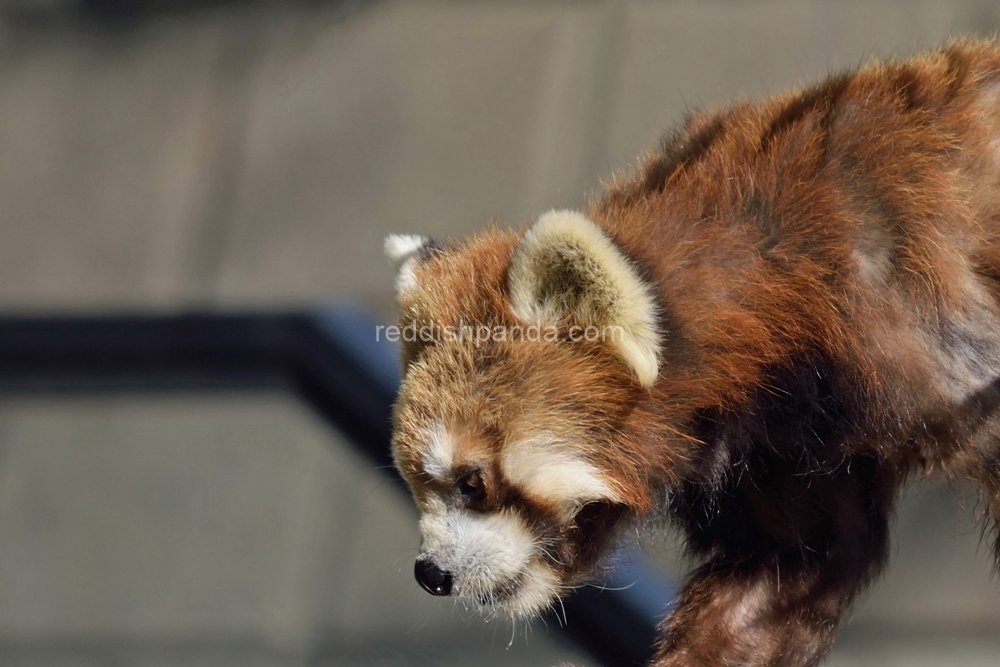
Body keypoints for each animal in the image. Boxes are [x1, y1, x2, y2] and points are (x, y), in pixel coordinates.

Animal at [384, 39, 1000, 664]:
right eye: (417, 479)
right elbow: (785, 581)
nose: (431, 574)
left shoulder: (916, 319)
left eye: (472, 481)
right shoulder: (781, 455)